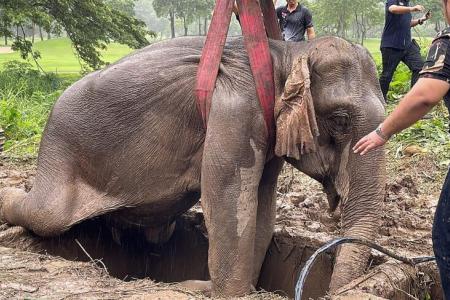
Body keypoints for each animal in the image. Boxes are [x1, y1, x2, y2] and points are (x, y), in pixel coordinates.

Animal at [0, 35, 384, 298]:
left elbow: (262, 206)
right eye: (340, 119)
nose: (336, 291)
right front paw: (223, 291)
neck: (284, 53)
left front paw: (242, 289)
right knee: (48, 214)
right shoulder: (236, 112)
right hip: (60, 154)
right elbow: (227, 201)